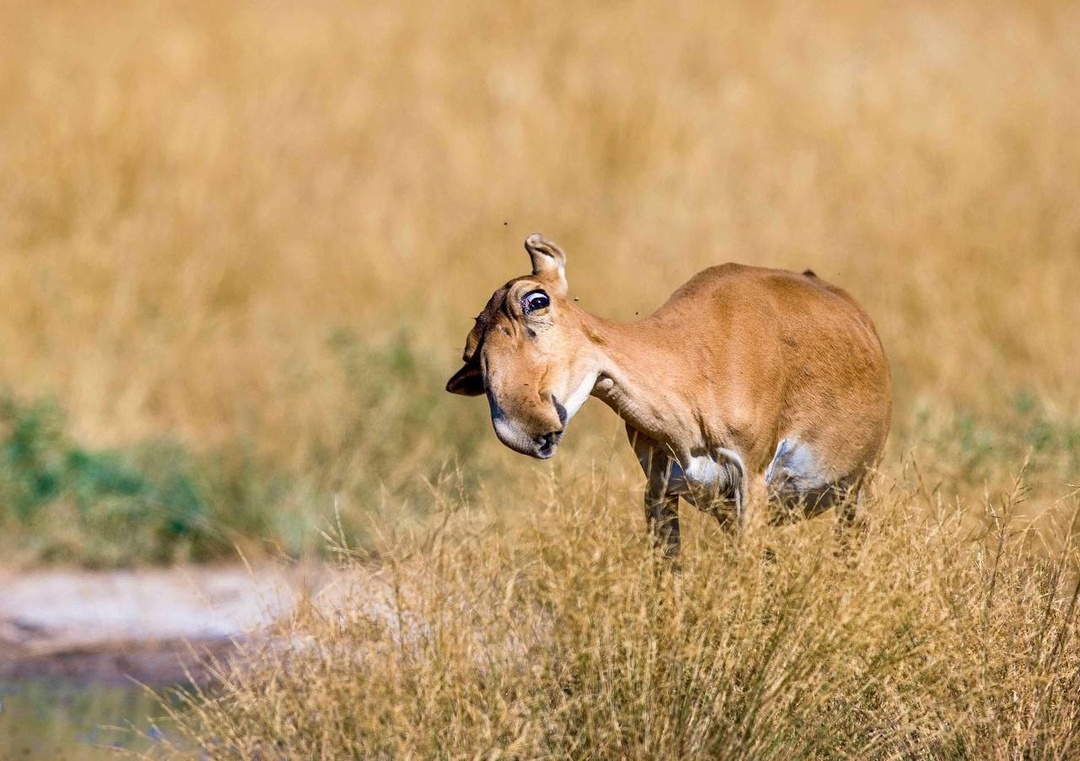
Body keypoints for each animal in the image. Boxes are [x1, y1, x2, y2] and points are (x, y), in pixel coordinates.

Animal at [442, 234, 889, 556]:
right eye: (472, 354)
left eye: (536, 299)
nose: (526, 429)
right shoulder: (660, 492)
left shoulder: (751, 483)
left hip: (859, 491)